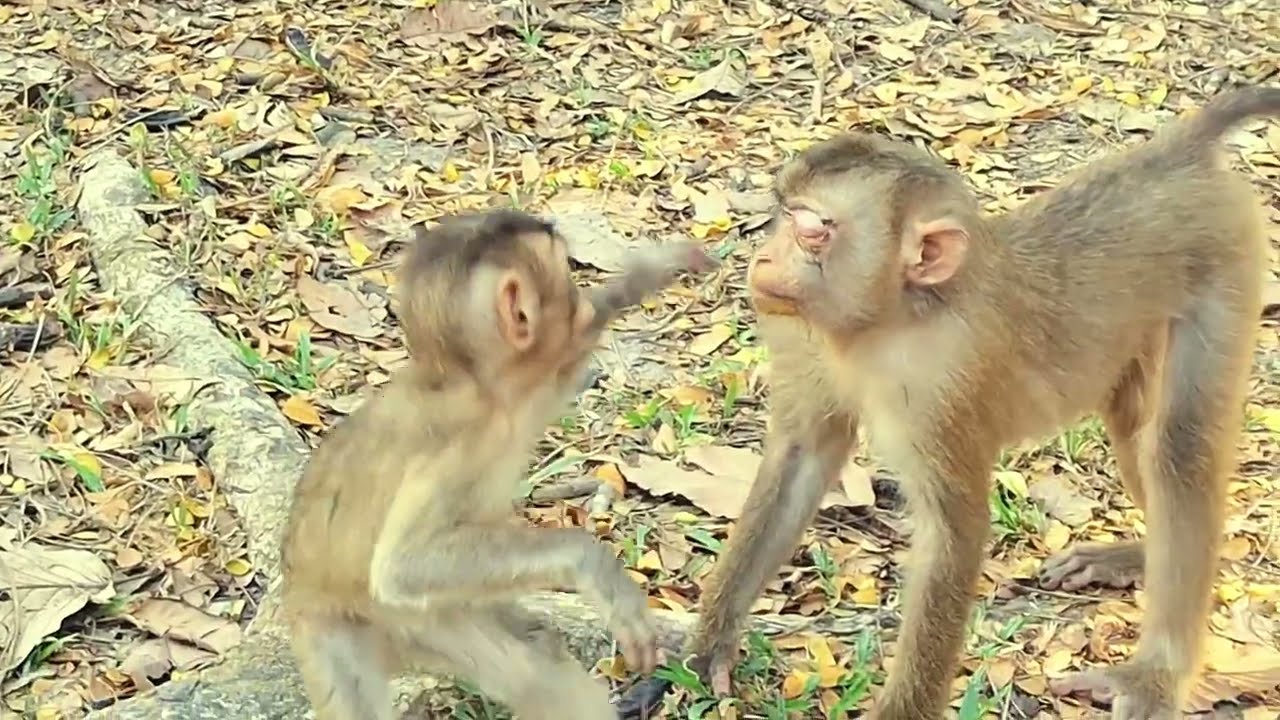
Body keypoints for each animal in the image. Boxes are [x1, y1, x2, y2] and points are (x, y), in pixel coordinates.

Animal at [280, 208, 719, 720]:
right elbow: (402, 566)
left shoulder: (532, 386)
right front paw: (591, 564)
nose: (577, 300)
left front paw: (650, 270)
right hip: (336, 629)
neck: (476, 385)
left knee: (537, 662)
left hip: (436, 619)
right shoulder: (456, 448)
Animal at [617, 86, 1280, 720]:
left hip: (1228, 260)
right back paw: (1138, 555)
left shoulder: (940, 391)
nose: (763, 259)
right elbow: (804, 455)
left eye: (813, 230)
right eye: (784, 215)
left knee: (1180, 446)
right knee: (1132, 417)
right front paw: (704, 653)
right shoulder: (809, 342)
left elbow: (953, 536)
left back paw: (1155, 675)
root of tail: (1177, 152)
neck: (892, 320)